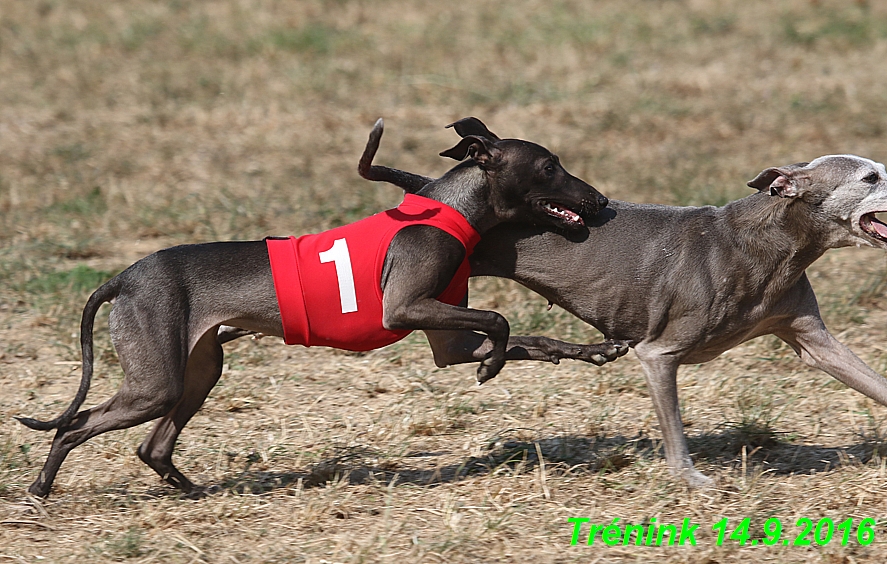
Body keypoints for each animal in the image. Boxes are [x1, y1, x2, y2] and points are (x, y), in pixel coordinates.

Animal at [19, 120, 632, 498]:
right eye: (549, 167)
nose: (600, 200)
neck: (450, 208)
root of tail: (123, 277)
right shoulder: (405, 309)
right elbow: (500, 321)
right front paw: (494, 366)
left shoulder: (448, 340)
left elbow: (536, 338)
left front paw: (596, 350)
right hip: (156, 383)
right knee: (73, 427)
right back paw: (40, 488)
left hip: (198, 372)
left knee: (153, 446)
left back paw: (193, 491)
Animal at [358, 117, 887, 486]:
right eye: (870, 177)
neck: (768, 240)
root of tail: (431, 191)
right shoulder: (659, 354)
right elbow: (675, 433)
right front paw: (693, 481)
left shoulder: (812, 338)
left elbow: (872, 382)